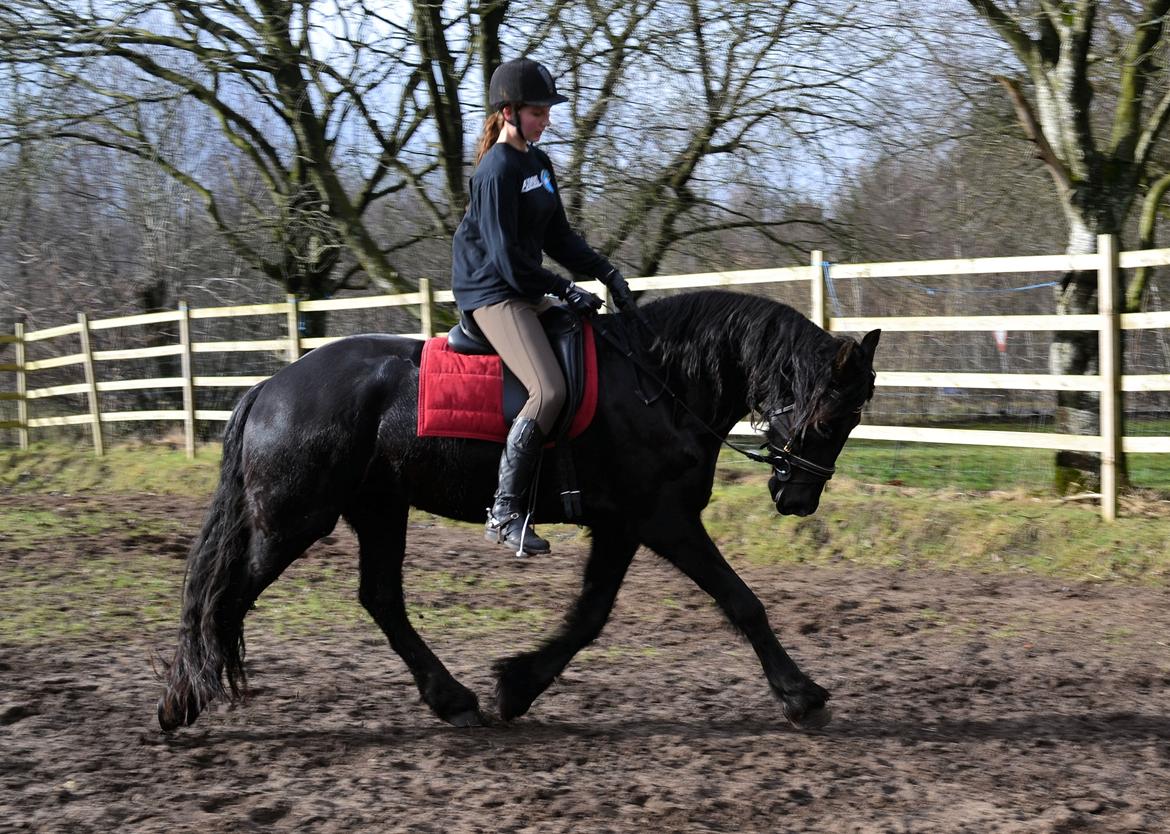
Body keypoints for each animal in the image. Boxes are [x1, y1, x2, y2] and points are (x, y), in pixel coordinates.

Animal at [157, 290, 879, 729]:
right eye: (832, 417)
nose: (797, 499)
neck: (660, 383)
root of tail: (269, 387)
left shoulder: (621, 526)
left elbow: (590, 616)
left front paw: (517, 685)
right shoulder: (663, 520)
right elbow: (741, 601)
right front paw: (801, 696)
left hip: (379, 509)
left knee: (380, 600)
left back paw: (452, 699)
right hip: (293, 521)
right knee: (224, 598)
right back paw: (180, 703)